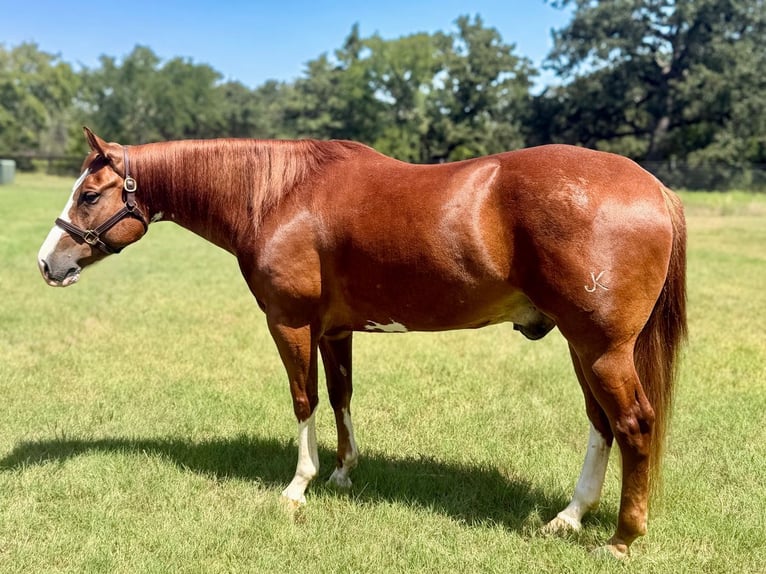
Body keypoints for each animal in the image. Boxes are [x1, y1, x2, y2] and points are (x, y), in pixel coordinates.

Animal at [38, 127, 686, 558]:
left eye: (89, 195)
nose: (48, 263)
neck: (278, 195)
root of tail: (656, 188)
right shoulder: (335, 330)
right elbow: (342, 397)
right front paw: (344, 474)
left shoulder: (290, 323)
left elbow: (304, 401)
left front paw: (298, 487)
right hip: (582, 346)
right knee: (601, 425)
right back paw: (569, 518)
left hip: (601, 349)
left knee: (632, 425)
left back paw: (621, 539)